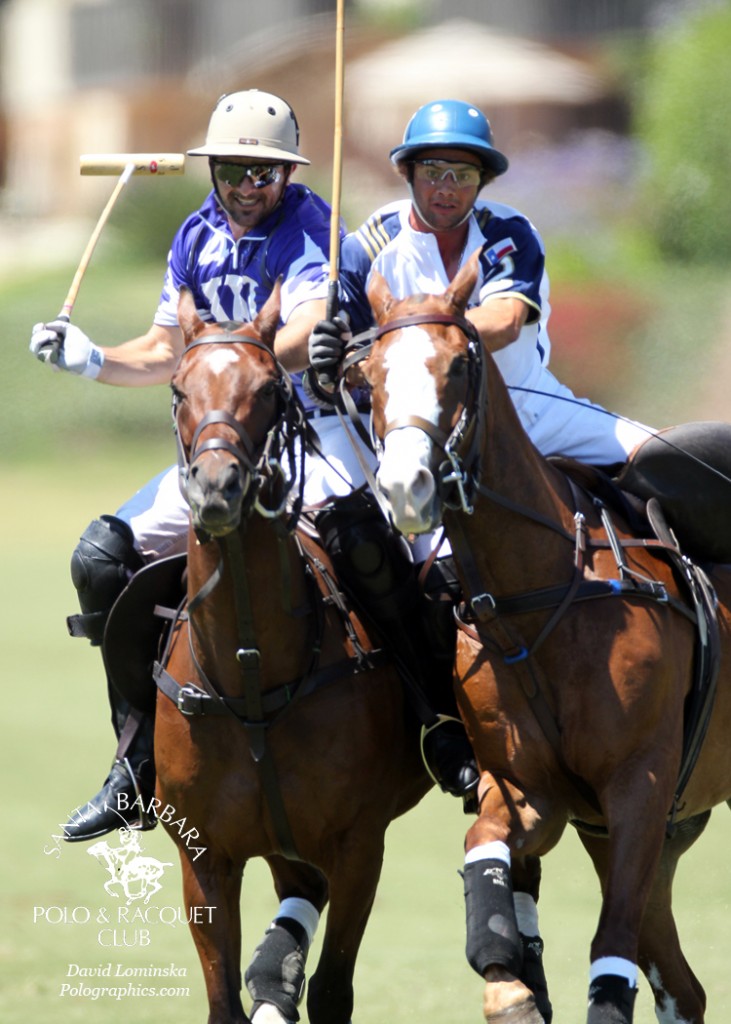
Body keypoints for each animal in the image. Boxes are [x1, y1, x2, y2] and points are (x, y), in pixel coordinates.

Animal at [151, 284, 430, 1024]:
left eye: (270, 390)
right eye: (178, 388)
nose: (217, 486)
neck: (250, 670)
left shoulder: (360, 844)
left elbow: (333, 991)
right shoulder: (203, 857)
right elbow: (224, 999)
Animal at [358, 249, 728, 1024]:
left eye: (457, 366)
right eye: (367, 373)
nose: (405, 487)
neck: (536, 594)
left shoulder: (640, 783)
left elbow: (610, 951)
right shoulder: (535, 791)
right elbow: (486, 861)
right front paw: (511, 986)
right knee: (682, 986)